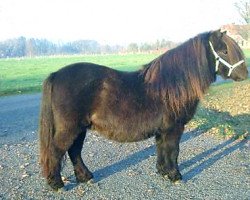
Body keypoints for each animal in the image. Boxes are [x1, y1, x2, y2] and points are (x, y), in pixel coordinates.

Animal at [39, 29, 248, 189]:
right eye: (224, 51)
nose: (245, 74)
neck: (172, 85)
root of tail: (56, 74)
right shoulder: (174, 128)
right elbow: (173, 151)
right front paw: (175, 175)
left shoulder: (163, 130)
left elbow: (162, 149)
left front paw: (163, 171)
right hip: (70, 128)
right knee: (56, 151)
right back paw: (57, 184)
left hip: (80, 128)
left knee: (74, 151)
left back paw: (85, 176)